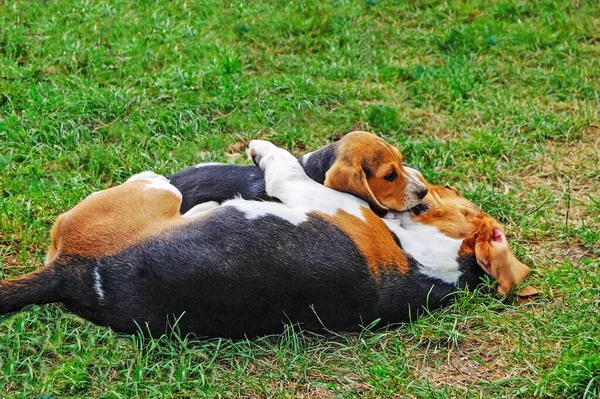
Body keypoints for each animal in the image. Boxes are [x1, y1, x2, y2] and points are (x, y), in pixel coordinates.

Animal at [0, 137, 536, 338]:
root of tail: (70, 273)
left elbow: (284, 168)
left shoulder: (312, 194)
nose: (426, 182)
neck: (428, 261)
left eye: (449, 194)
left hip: (154, 187)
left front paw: (263, 150)